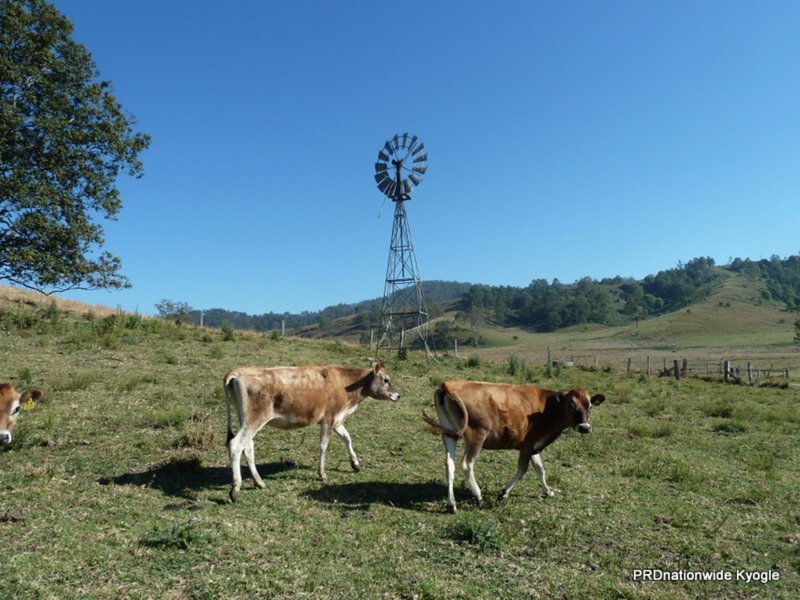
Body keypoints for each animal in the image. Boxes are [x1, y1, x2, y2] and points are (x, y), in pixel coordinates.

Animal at [223, 360, 398, 502]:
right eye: (386, 379)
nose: (397, 395)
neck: (345, 384)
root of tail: (237, 371)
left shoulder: (337, 420)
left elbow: (347, 438)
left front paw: (355, 464)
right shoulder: (328, 418)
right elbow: (323, 446)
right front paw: (322, 474)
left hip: (246, 420)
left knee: (248, 447)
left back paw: (259, 482)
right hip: (254, 419)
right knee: (236, 445)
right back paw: (236, 489)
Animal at [424, 382, 608, 512]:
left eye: (590, 406)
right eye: (570, 405)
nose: (585, 427)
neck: (548, 409)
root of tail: (450, 385)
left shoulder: (534, 445)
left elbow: (540, 469)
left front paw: (548, 491)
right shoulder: (527, 444)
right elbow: (522, 471)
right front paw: (504, 492)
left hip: (449, 433)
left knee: (450, 464)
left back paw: (451, 504)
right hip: (477, 435)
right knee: (466, 464)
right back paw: (479, 496)